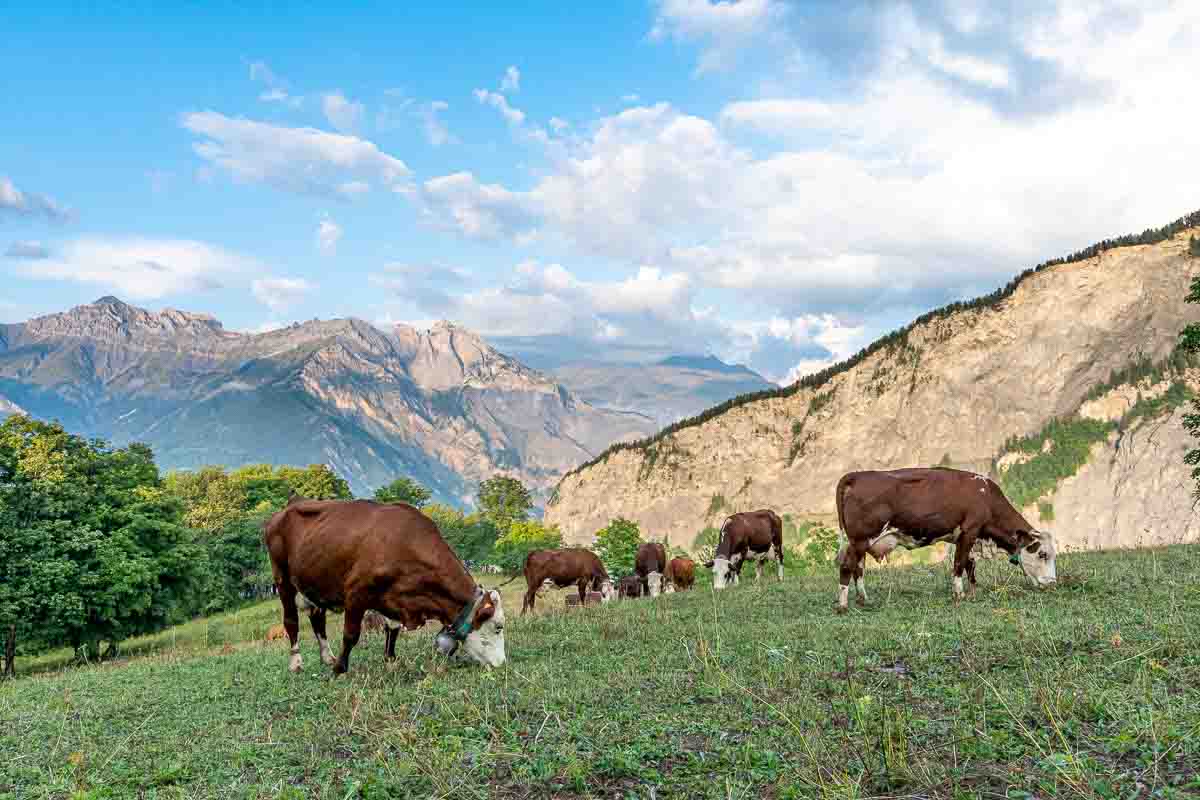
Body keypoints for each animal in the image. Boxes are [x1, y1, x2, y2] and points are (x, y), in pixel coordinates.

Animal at [262, 496, 506, 671]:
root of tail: (291, 504)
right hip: (282, 577)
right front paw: (340, 669)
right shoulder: (356, 593)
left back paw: (326, 657)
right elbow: (351, 634)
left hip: (314, 583)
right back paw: (296, 662)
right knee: (291, 620)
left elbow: (393, 628)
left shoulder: (394, 597)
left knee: (317, 619)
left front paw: (390, 658)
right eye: (498, 627)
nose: (502, 663)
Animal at [835, 465, 1060, 609]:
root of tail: (857, 475)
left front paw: (973, 591)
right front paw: (959, 595)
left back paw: (863, 599)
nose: (1052, 583)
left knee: (858, 568)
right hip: (860, 539)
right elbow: (959, 563)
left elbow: (970, 564)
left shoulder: (966, 537)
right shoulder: (970, 530)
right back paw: (843, 605)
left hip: (860, 542)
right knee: (847, 566)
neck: (986, 497)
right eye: (1042, 554)